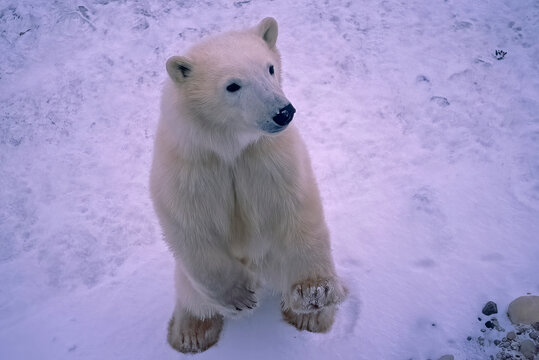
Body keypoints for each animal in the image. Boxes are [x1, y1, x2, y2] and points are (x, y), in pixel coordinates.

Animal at [150, 18, 348, 352]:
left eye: (269, 68)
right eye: (233, 85)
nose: (283, 112)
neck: (230, 147)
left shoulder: (268, 157)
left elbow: (297, 205)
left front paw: (314, 293)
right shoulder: (190, 168)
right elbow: (190, 227)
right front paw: (242, 295)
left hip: (275, 256)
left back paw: (311, 317)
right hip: (191, 279)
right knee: (191, 291)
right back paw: (192, 332)